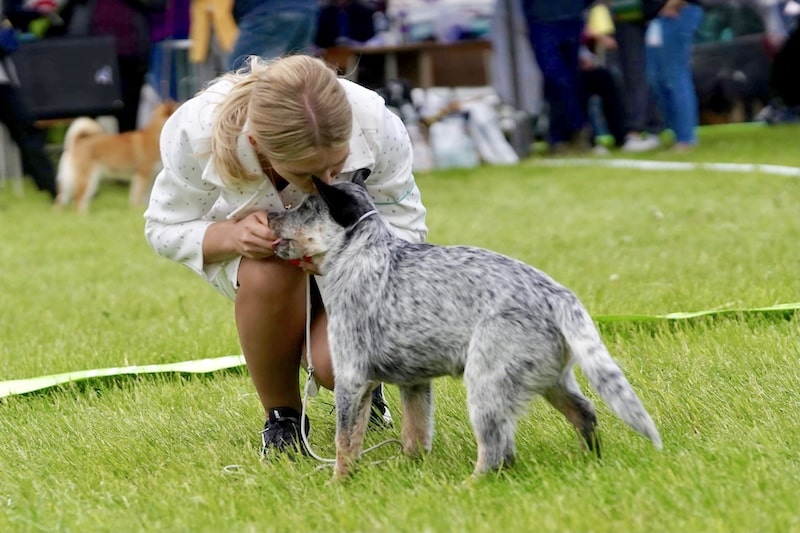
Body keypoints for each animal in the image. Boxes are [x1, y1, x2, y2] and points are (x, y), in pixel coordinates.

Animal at [268, 170, 664, 478]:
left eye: (306, 207)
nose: (270, 216)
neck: (362, 254)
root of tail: (557, 295)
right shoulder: (414, 383)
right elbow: (416, 434)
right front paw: (410, 470)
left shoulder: (352, 377)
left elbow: (346, 441)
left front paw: (339, 482)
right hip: (552, 379)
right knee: (585, 413)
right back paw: (588, 460)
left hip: (487, 384)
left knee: (498, 451)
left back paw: (470, 484)